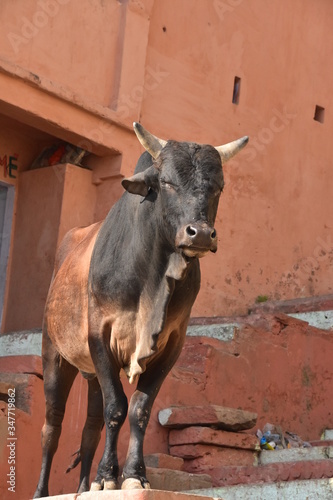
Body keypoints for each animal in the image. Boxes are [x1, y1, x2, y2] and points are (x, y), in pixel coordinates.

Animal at [33, 122, 246, 496]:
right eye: (167, 183)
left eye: (218, 187)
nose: (200, 234)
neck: (152, 281)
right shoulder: (99, 337)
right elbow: (116, 407)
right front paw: (108, 477)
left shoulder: (171, 345)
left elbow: (139, 410)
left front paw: (131, 475)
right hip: (54, 354)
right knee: (52, 426)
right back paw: (43, 491)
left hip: (89, 373)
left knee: (89, 428)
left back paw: (84, 486)